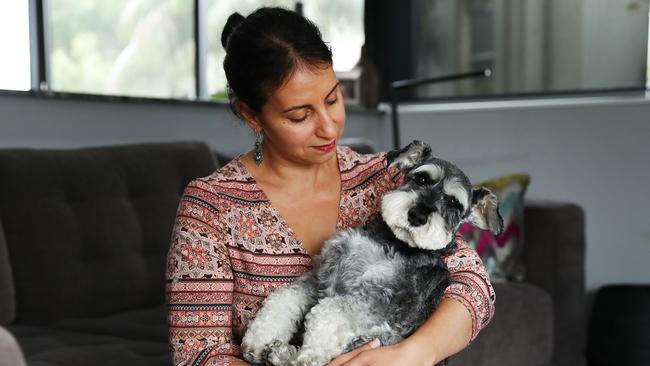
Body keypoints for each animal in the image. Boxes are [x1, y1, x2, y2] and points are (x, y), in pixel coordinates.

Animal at [242, 141, 502, 366]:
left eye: (454, 204)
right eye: (421, 178)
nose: (417, 216)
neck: (394, 244)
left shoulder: (378, 302)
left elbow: (326, 312)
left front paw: (307, 356)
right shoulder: (320, 277)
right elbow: (283, 297)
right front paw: (258, 340)